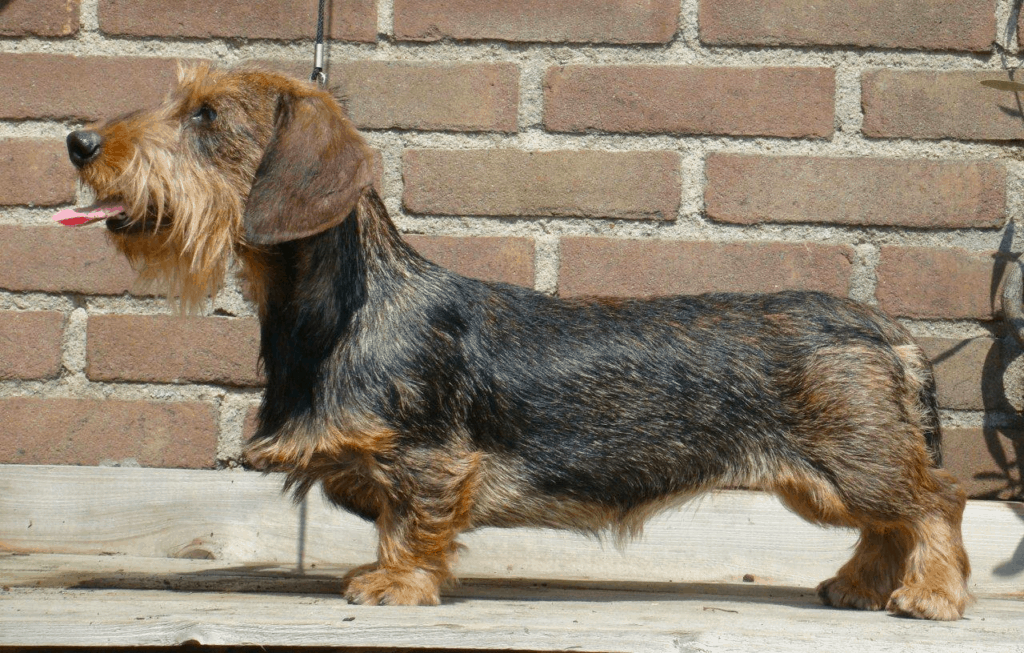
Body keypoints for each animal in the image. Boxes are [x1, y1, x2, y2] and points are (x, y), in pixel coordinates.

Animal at [59, 63, 970, 622]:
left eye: (207, 116)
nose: (77, 142)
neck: (343, 309)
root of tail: (887, 328)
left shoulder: (428, 456)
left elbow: (412, 521)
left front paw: (395, 583)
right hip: (834, 480)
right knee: (887, 526)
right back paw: (856, 586)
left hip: (855, 463)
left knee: (934, 505)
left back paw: (930, 596)